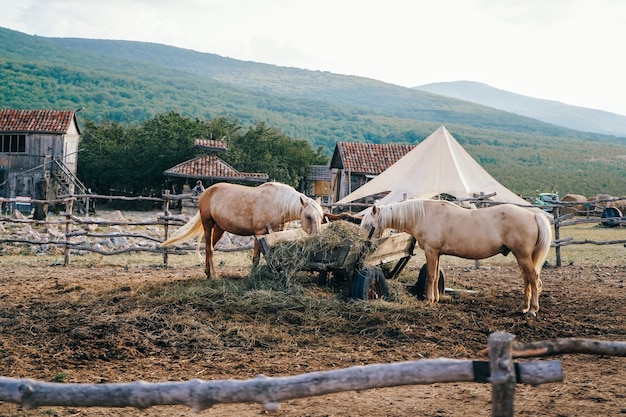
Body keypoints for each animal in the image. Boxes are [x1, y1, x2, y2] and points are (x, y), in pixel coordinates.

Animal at [158, 181, 324, 276]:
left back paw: (207, 273)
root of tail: (204, 193)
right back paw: (214, 276)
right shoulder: (259, 233)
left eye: (321, 216)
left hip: (219, 228)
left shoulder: (277, 232)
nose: (318, 238)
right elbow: (256, 257)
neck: (277, 202)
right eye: (308, 216)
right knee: (210, 249)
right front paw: (253, 275)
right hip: (208, 225)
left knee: (208, 247)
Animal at [360, 200, 552, 314]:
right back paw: (523, 307)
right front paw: (435, 299)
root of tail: (534, 215)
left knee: (534, 278)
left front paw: (428, 300)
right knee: (528, 280)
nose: (364, 242)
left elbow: (431, 276)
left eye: (369, 225)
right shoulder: (437, 253)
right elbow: (436, 276)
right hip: (523, 257)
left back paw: (533, 309)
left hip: (523, 256)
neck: (424, 215)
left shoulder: (431, 251)